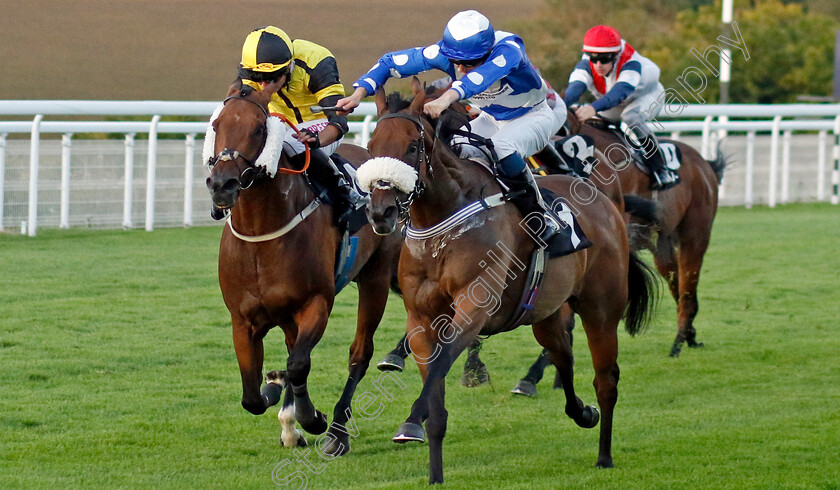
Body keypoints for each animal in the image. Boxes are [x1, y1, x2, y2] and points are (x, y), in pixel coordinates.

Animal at [203, 80, 400, 456]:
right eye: (216, 125)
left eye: (258, 128)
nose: (222, 185)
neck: (261, 234)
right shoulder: (243, 319)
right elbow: (252, 394)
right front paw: (275, 390)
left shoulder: (316, 304)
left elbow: (298, 365)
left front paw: (312, 419)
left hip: (377, 277)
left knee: (359, 354)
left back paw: (336, 431)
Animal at [358, 82, 660, 484]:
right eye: (372, 146)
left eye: (411, 147)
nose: (381, 212)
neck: (442, 220)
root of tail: (606, 202)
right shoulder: (421, 320)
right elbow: (434, 390)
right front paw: (430, 464)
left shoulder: (473, 309)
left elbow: (440, 369)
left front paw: (414, 421)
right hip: (545, 312)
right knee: (563, 355)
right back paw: (580, 411)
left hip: (601, 309)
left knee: (606, 379)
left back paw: (604, 455)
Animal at [564, 111, 728, 356]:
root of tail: (703, 163)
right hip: (662, 244)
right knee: (677, 284)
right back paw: (689, 335)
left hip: (695, 235)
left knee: (687, 289)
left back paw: (678, 342)